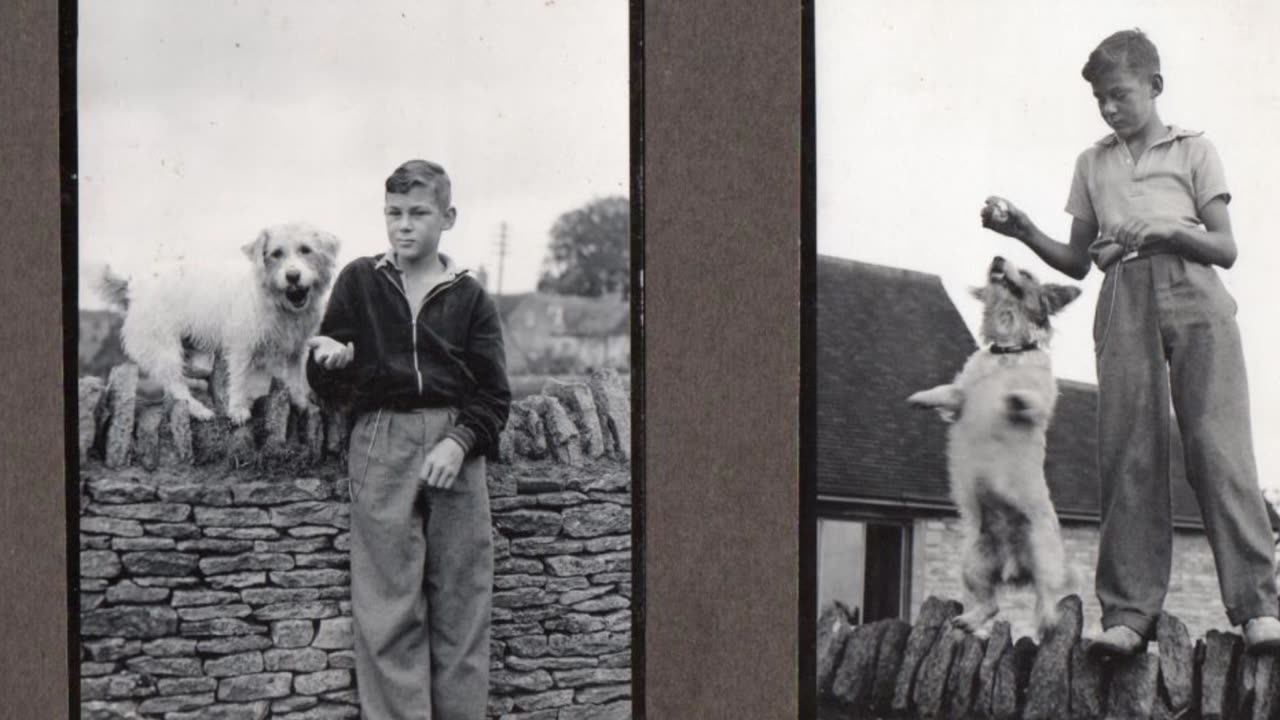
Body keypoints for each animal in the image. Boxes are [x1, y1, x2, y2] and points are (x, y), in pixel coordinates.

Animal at [97, 221, 340, 422]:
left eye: (306, 250)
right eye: (276, 253)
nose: (293, 276)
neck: (278, 303)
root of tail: (134, 287)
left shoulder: (297, 348)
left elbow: (295, 377)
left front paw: (301, 403)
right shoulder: (243, 345)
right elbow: (240, 378)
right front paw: (238, 409)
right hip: (164, 348)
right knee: (175, 385)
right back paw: (198, 410)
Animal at [911, 253, 1080, 632]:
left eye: (1027, 273)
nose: (998, 258)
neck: (1008, 350)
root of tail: (1013, 565)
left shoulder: (1040, 402)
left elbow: (1025, 398)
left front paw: (1011, 397)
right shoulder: (961, 395)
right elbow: (947, 392)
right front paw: (920, 398)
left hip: (1043, 556)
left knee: (1046, 599)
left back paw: (1047, 622)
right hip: (974, 562)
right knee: (990, 605)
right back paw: (968, 620)